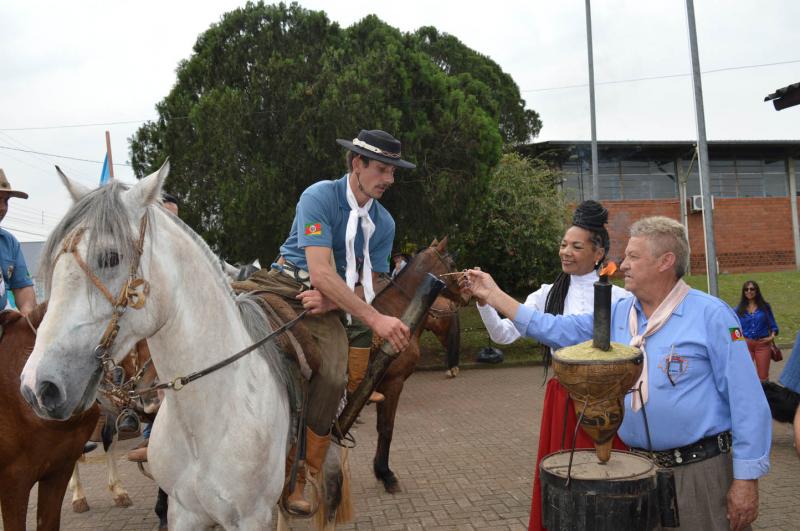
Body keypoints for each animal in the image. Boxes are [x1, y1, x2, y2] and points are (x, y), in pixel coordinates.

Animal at [368, 238, 462, 494]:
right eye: (452, 263)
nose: (465, 295)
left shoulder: (382, 388)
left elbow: (381, 427)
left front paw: (380, 470)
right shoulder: (393, 384)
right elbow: (387, 428)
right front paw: (386, 473)